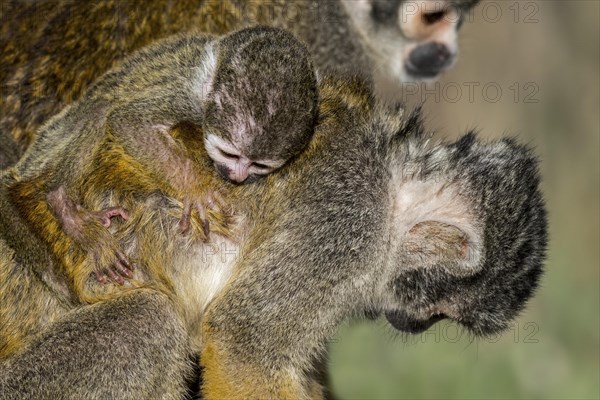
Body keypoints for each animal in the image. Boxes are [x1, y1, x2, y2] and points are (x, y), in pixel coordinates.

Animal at [27, 25, 318, 284]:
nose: (237, 176)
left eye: (259, 165)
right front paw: (195, 188)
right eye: (230, 154)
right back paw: (64, 206)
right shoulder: (187, 98)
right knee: (102, 109)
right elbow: (127, 122)